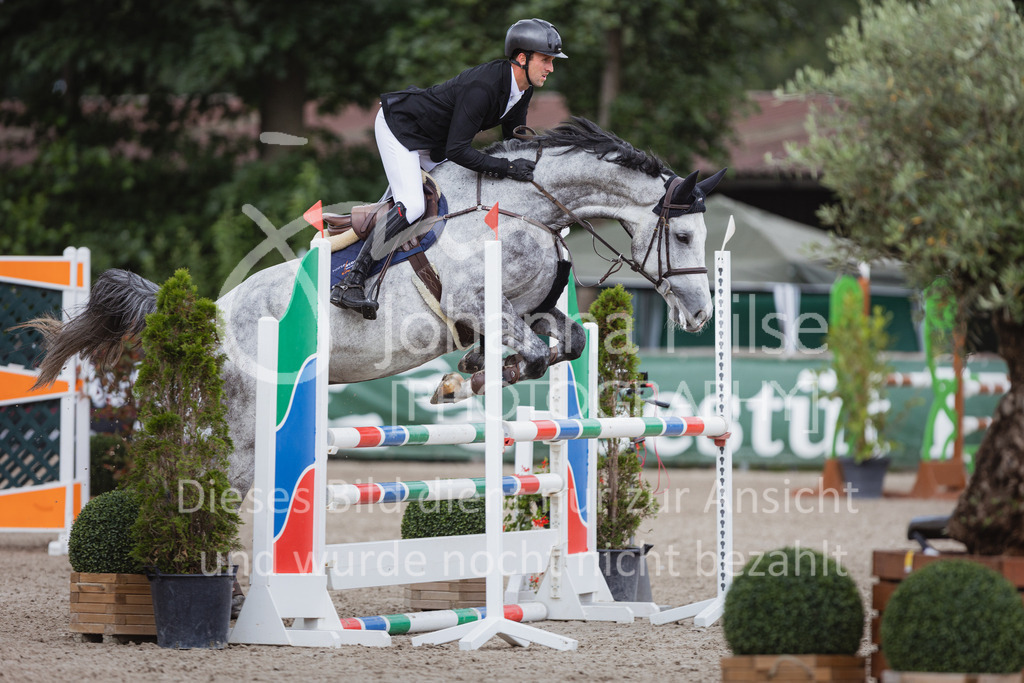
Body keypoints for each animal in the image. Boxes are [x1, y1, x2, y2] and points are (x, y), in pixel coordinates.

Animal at [29, 117, 726, 497]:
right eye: (685, 236)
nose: (699, 318)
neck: (528, 207)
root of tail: (214, 314)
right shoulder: (481, 305)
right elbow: (525, 352)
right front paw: (464, 380)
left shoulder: (530, 311)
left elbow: (567, 342)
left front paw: (469, 375)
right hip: (242, 421)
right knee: (213, 478)